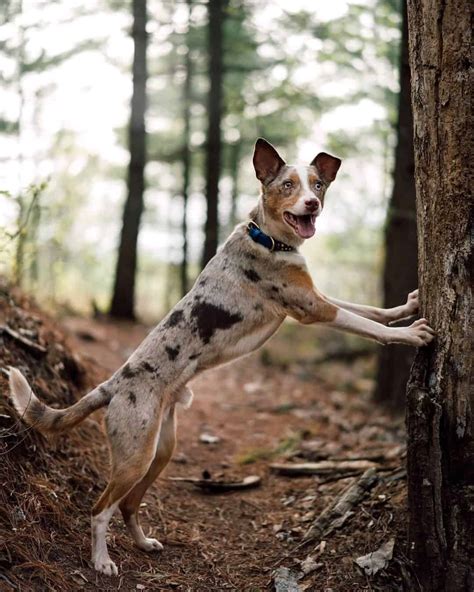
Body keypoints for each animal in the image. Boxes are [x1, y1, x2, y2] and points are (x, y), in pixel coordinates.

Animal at [8, 138, 436, 572]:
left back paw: (143, 543)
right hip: (134, 455)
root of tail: (111, 384)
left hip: (159, 450)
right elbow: (369, 326)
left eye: (318, 184)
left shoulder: (316, 298)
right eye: (287, 185)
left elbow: (371, 311)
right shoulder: (314, 308)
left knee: (128, 504)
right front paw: (410, 334)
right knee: (100, 509)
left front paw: (407, 307)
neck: (267, 238)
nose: (312, 204)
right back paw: (101, 561)